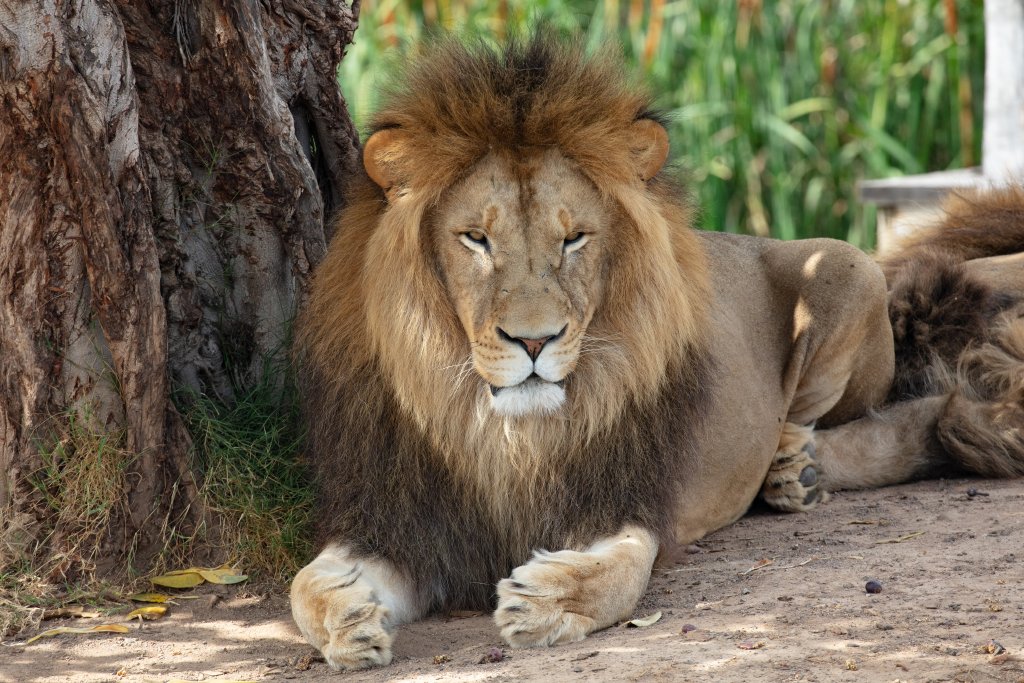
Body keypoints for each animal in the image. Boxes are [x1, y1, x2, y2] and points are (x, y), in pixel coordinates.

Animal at [289, 36, 1024, 669]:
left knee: (848, 416)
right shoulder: (403, 519)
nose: (535, 340)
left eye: (574, 239)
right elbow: (304, 583)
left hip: (848, 265)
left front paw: (544, 600)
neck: (505, 436)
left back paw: (797, 468)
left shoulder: (625, 499)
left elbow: (623, 568)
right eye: (475, 238)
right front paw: (348, 617)